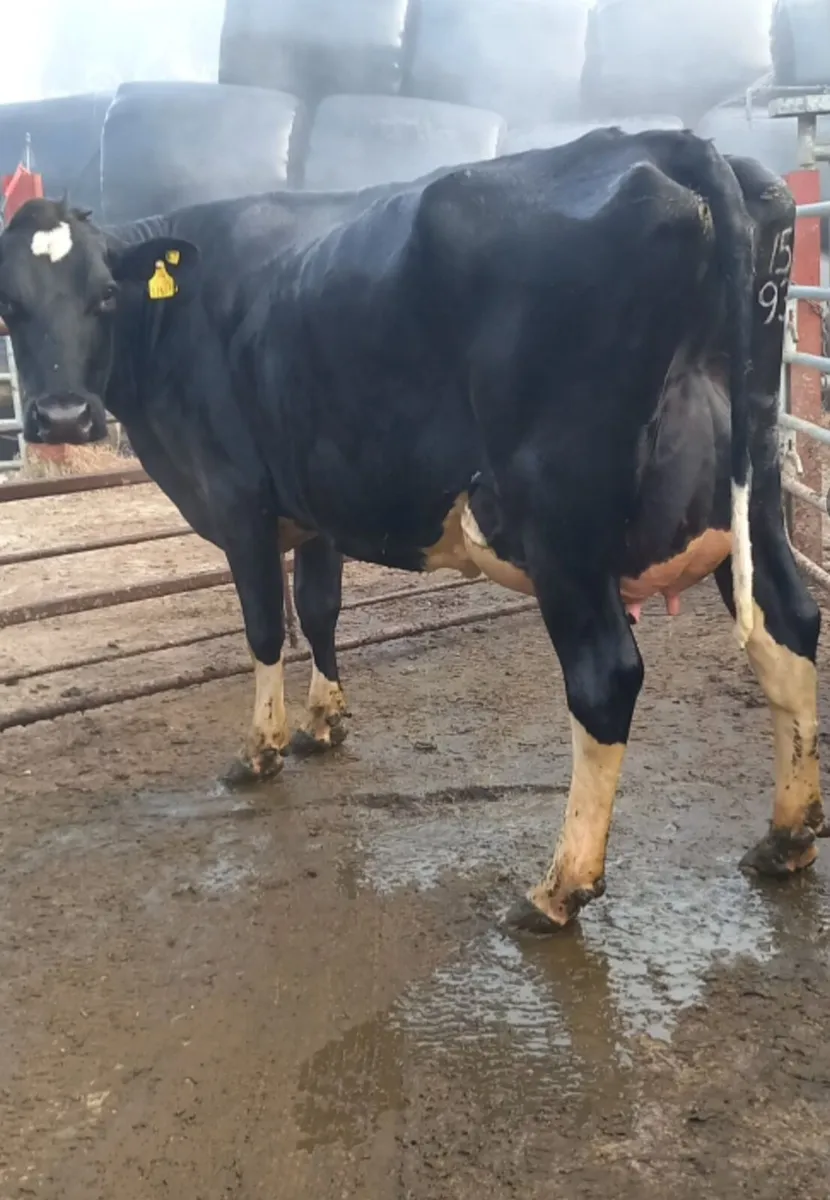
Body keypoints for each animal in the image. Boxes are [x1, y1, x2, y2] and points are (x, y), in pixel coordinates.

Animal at [0, 127, 823, 934]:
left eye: (107, 296)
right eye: (9, 304)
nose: (62, 418)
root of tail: (673, 142)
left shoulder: (237, 501)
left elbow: (264, 627)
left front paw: (260, 751)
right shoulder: (318, 498)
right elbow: (320, 609)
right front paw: (325, 721)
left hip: (560, 518)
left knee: (605, 679)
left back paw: (557, 890)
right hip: (752, 483)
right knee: (789, 626)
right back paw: (787, 836)